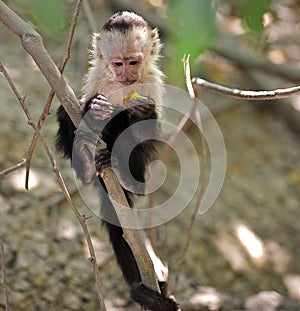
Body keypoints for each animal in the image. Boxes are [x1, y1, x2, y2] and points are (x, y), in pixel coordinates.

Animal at [56, 11, 178, 310]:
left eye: (134, 62)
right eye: (117, 63)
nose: (126, 74)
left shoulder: (152, 81)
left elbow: (150, 127)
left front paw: (141, 112)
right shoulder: (96, 76)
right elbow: (78, 107)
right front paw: (94, 111)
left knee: (130, 134)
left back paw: (125, 176)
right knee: (67, 116)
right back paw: (88, 161)